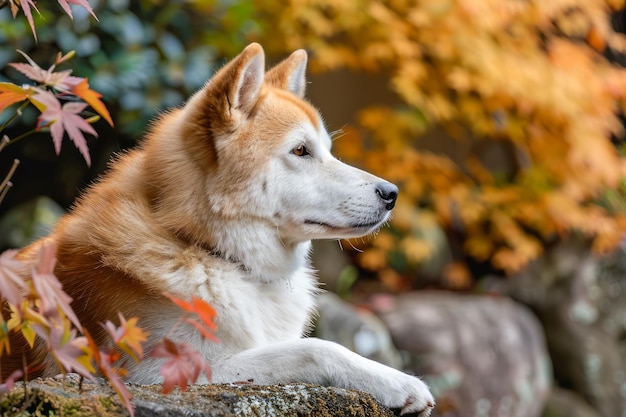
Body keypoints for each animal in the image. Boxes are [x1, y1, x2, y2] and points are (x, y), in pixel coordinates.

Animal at [6, 44, 434, 414]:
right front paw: (396, 381)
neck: (205, 249)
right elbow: (317, 348)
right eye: (300, 150)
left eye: (327, 150)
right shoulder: (157, 374)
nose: (392, 193)